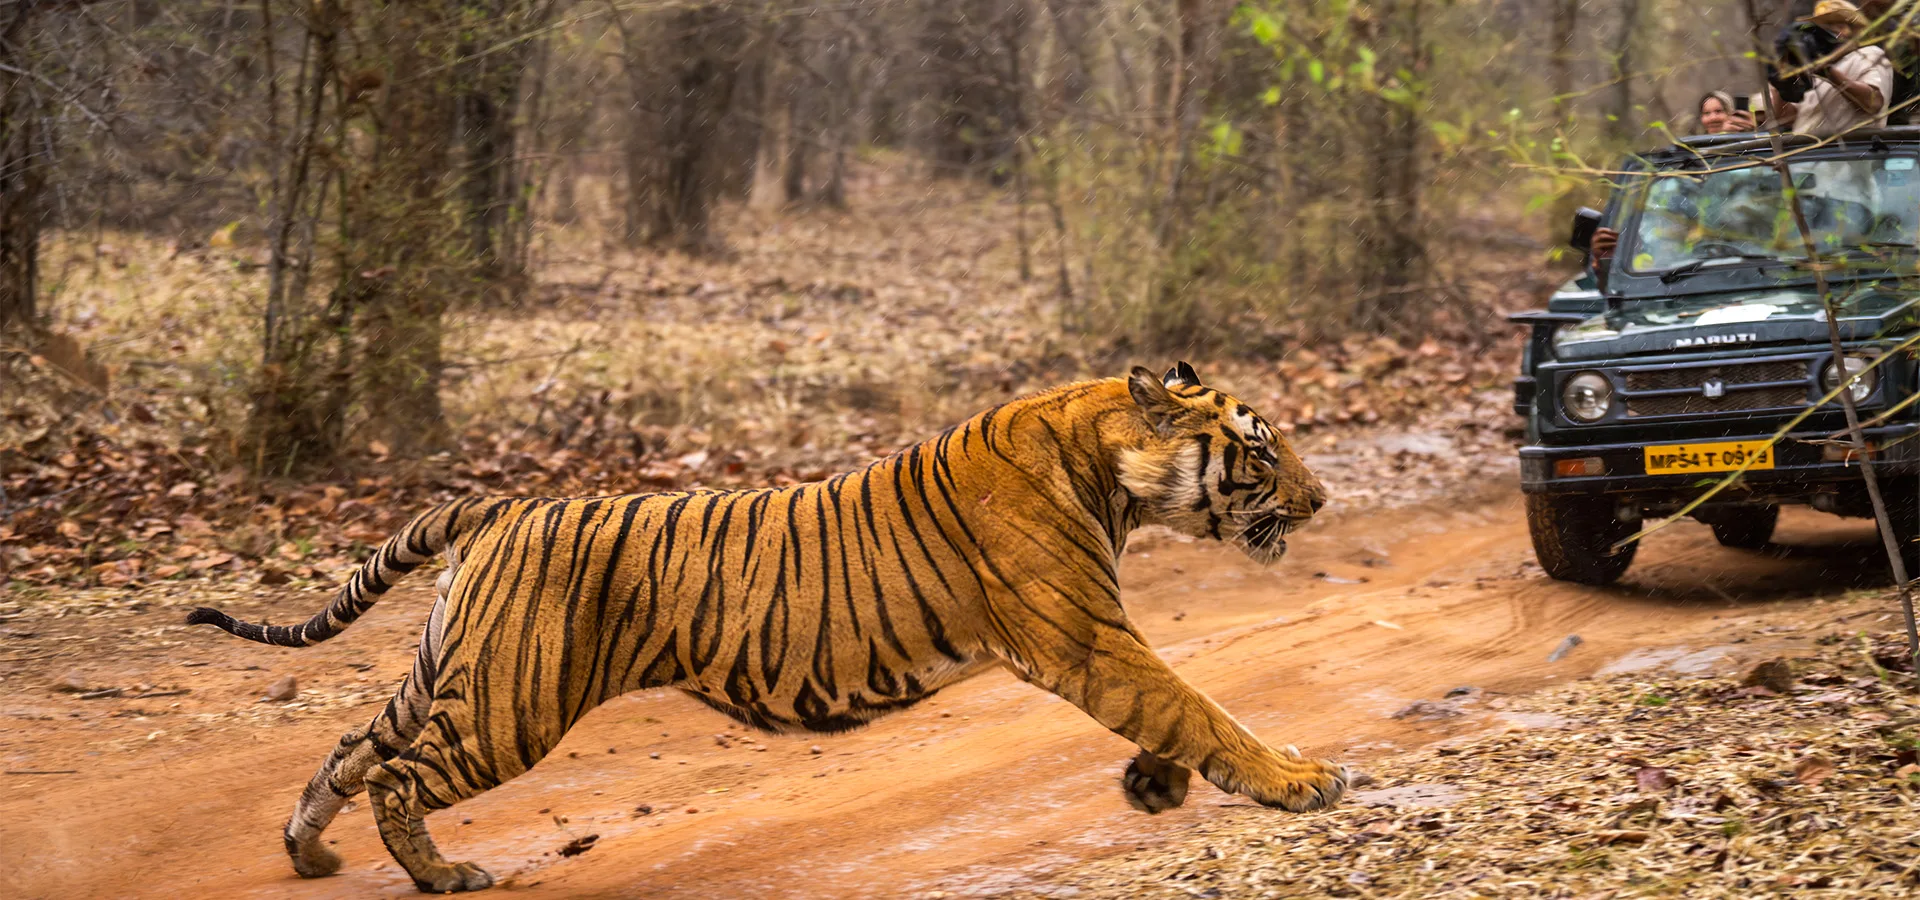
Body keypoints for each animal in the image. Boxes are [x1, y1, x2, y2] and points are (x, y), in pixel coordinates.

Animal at [187, 362, 1346, 893]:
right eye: (1260, 448)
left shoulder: (1099, 643)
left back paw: (309, 856)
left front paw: (1154, 786)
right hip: (512, 705)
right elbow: (1202, 706)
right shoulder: (1089, 640)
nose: (1325, 498)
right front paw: (1302, 781)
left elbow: (1183, 710)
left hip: (452, 676)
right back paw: (440, 876)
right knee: (393, 774)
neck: (1105, 463)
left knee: (349, 747)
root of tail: (502, 505)